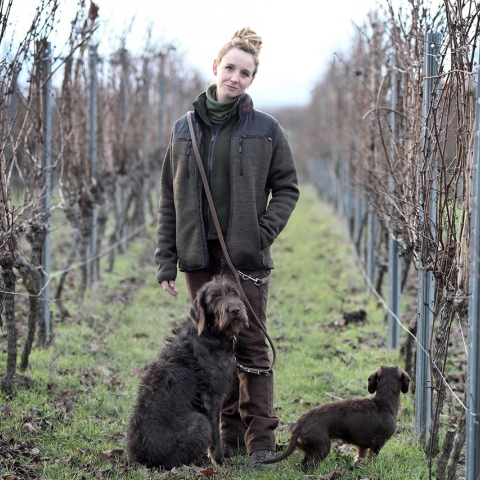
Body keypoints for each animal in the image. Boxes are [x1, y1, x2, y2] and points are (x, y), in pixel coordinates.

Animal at [125, 278, 249, 468]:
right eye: (214, 297)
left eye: (234, 292)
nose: (235, 310)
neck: (210, 332)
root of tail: (141, 460)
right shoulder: (212, 399)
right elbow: (216, 434)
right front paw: (219, 461)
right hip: (200, 422)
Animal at [262, 366, 408, 466]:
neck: (383, 404)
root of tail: (300, 422)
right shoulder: (379, 441)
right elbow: (371, 456)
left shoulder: (362, 445)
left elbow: (361, 455)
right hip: (322, 448)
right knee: (307, 464)